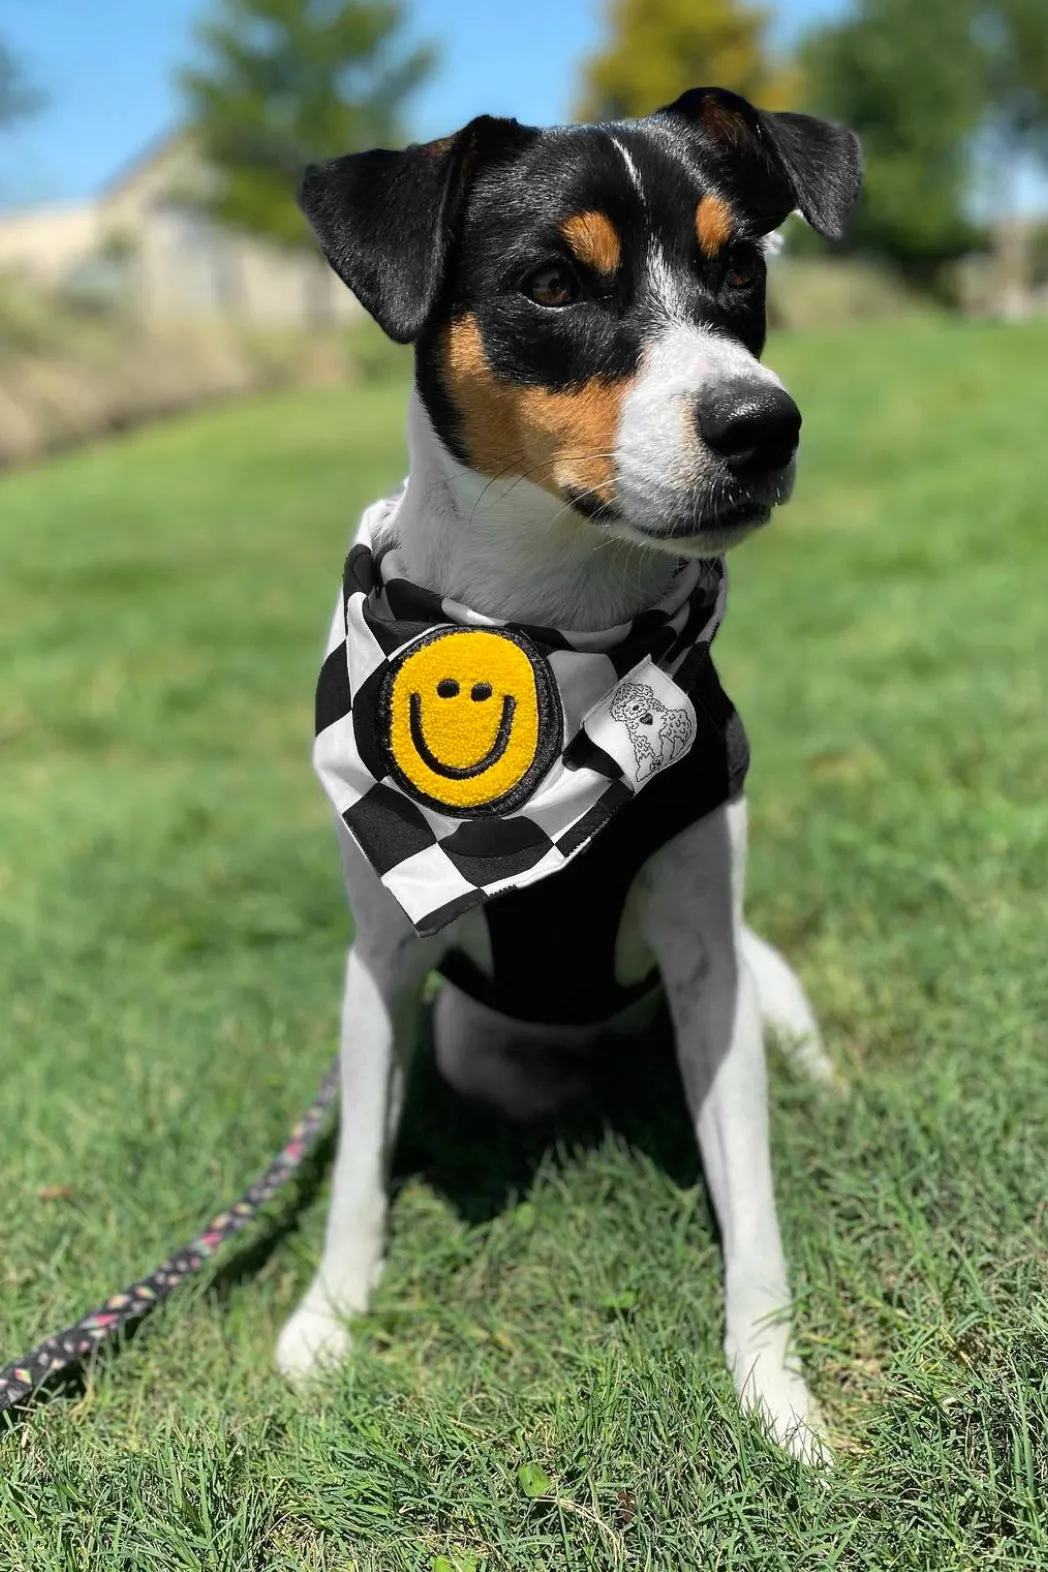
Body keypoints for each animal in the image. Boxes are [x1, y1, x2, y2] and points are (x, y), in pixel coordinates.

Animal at [276, 86, 861, 1458]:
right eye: (551, 282)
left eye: (741, 268)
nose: (763, 423)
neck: (553, 637)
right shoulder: (381, 961)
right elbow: (355, 1177)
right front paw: (329, 1322)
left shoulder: (708, 963)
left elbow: (756, 1221)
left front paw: (776, 1394)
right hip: (478, 1044)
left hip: (757, 985)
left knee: (788, 1047)